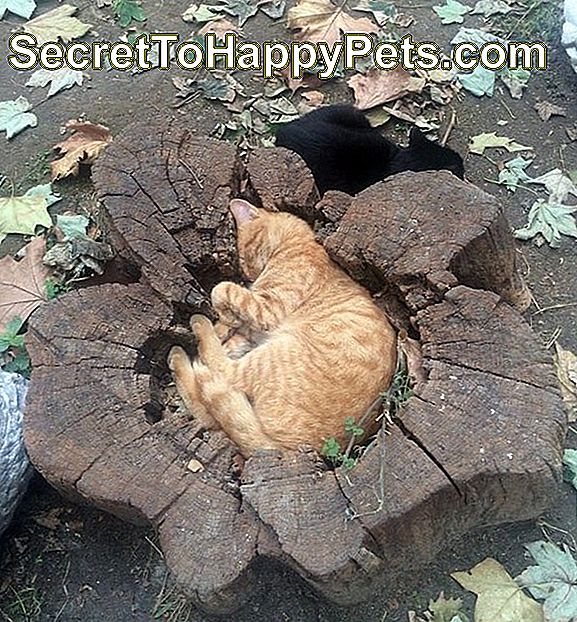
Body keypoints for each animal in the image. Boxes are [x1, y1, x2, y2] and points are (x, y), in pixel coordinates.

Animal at [169, 200, 398, 458]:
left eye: (244, 255)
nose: (248, 274)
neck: (297, 244)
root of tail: (293, 449)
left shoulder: (267, 308)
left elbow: (222, 289)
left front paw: (225, 317)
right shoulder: (255, 329)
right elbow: (232, 335)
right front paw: (224, 327)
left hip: (272, 356)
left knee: (221, 374)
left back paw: (195, 335)